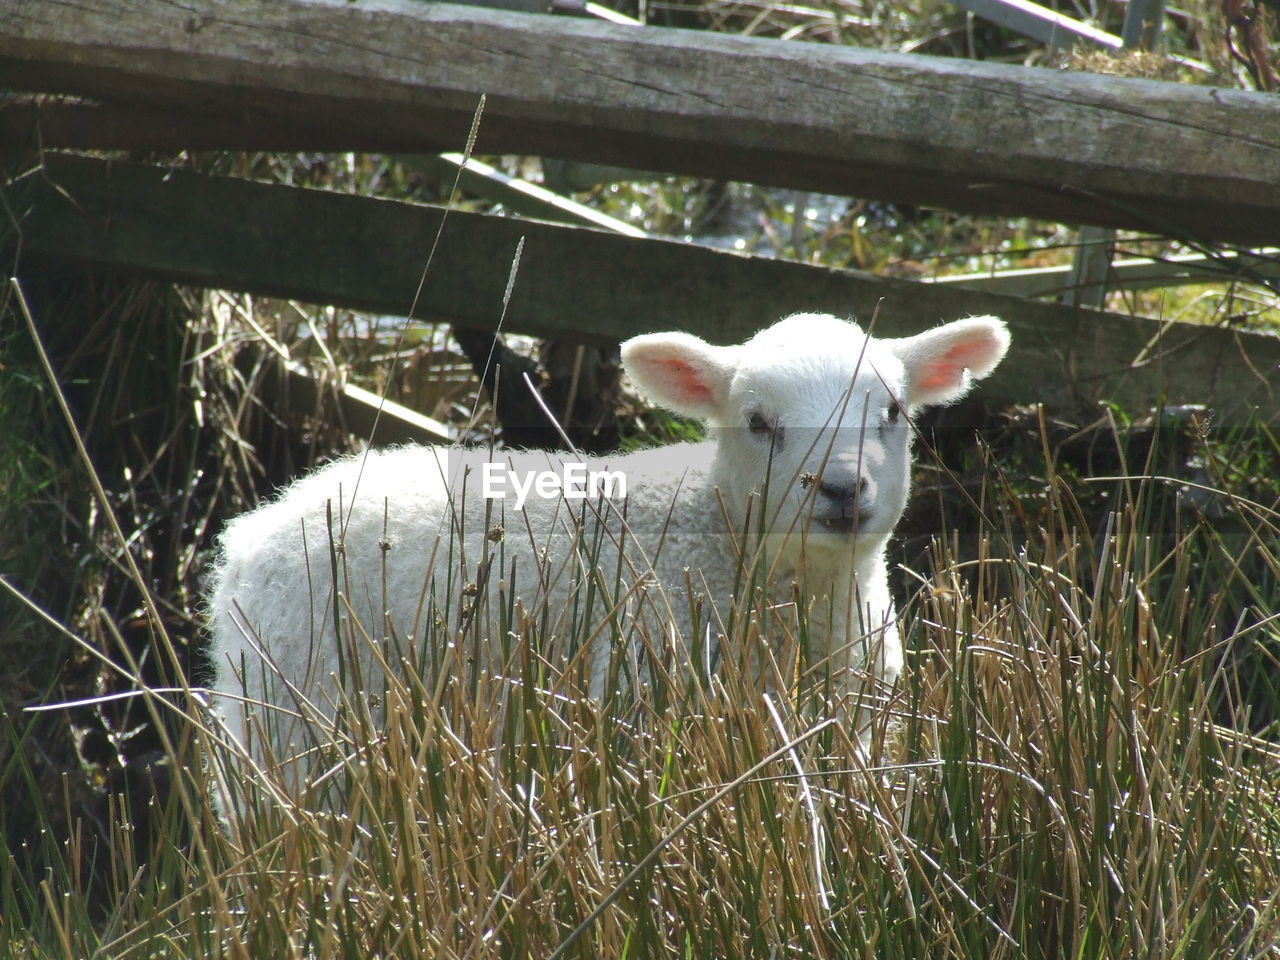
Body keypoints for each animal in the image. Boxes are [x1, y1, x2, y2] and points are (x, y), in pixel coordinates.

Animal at [207, 312, 1008, 798]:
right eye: (757, 422)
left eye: (893, 413)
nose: (842, 489)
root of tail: (251, 532)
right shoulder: (642, 699)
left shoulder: (853, 722)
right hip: (291, 710)